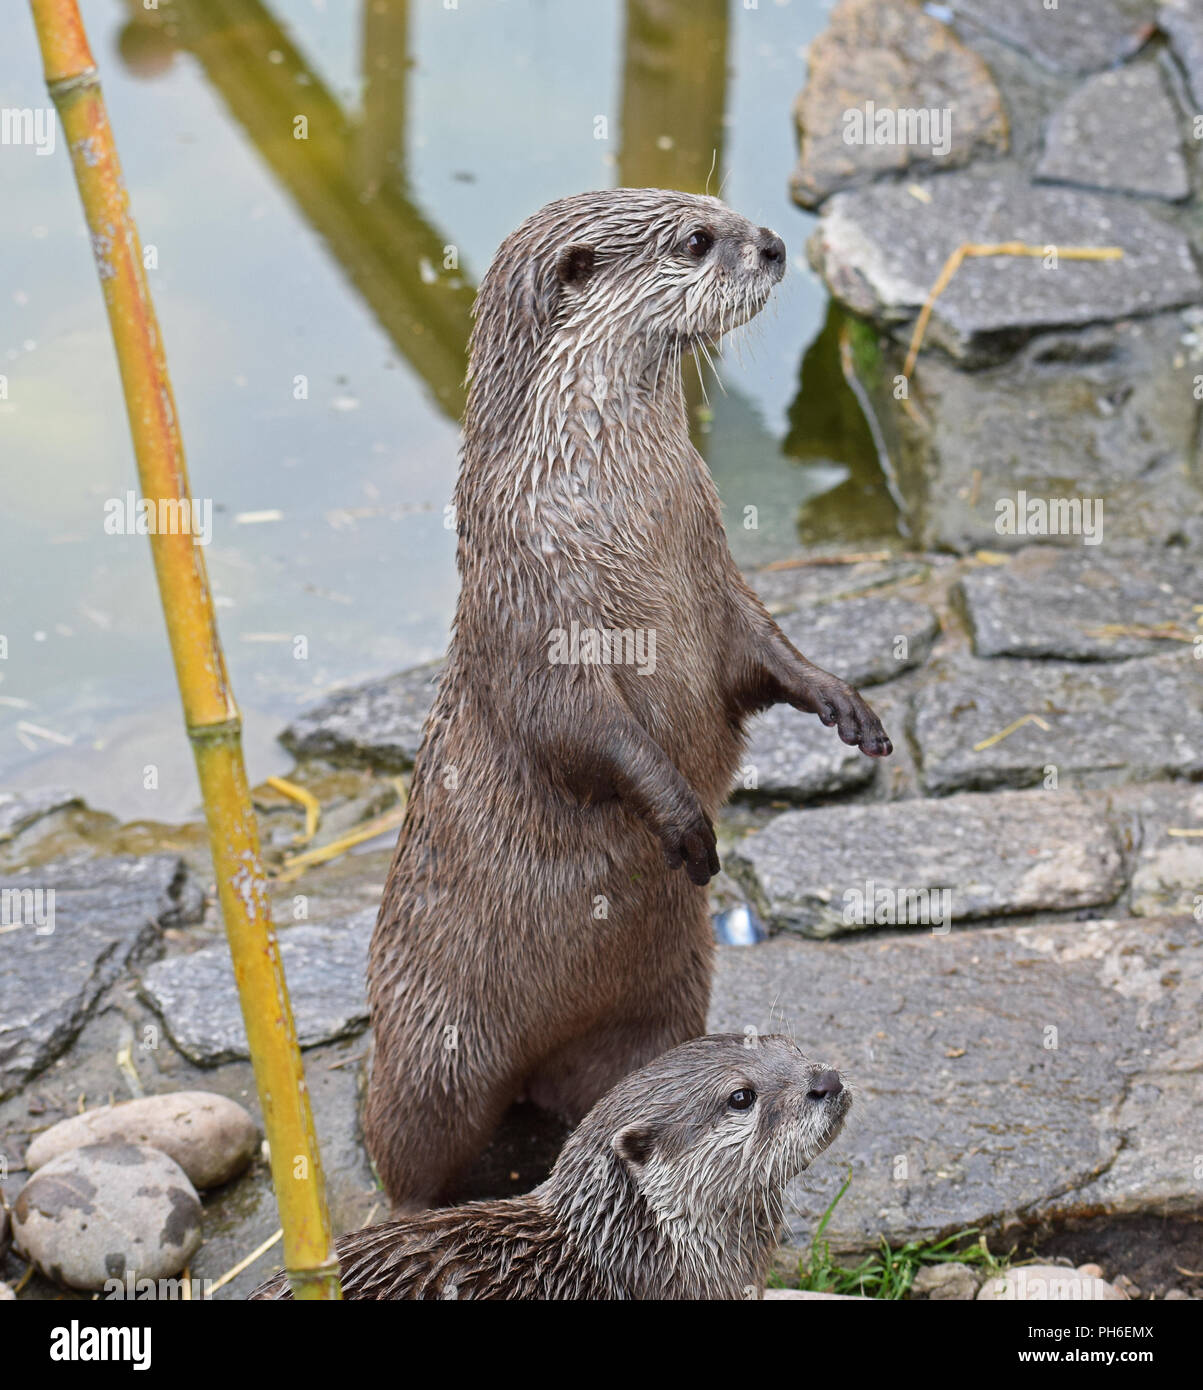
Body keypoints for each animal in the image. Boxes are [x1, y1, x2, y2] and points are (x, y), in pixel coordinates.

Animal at [366, 189, 890, 1210]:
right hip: (428, 1041)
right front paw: (683, 820)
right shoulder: (533, 614)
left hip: (661, 1003)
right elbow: (583, 732)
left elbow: (763, 655)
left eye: (721, 208)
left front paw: (844, 704)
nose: (774, 244)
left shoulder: (717, 574)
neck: (617, 504)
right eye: (697, 239)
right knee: (401, 1143)